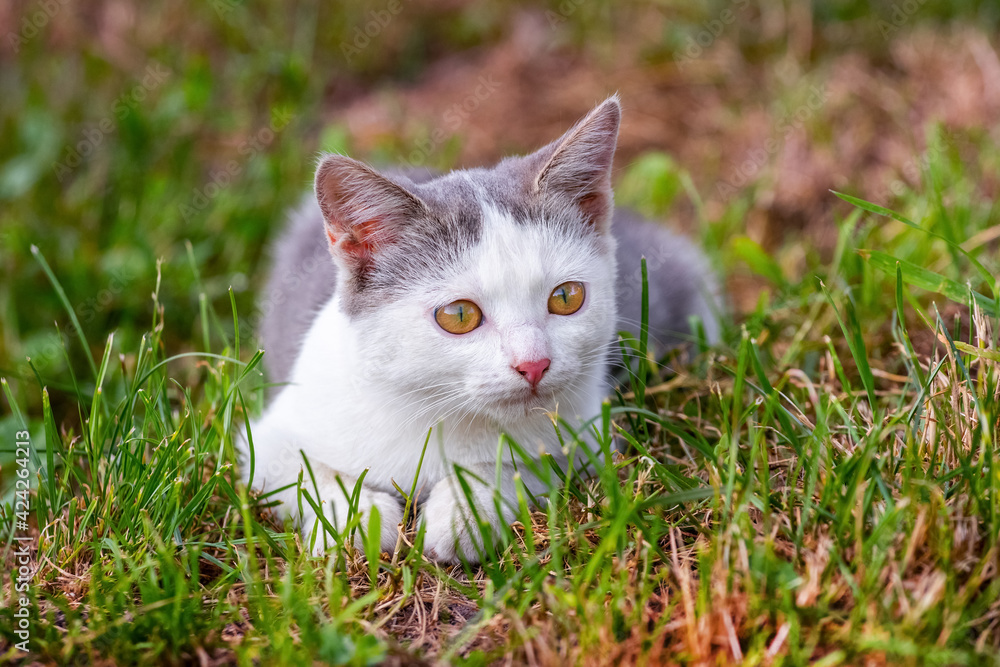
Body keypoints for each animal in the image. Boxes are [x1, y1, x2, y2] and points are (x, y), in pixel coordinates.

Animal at [242, 94, 720, 564]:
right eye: (458, 315)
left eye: (566, 297)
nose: (534, 363)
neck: (437, 416)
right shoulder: (266, 440)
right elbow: (301, 472)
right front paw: (357, 519)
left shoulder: (586, 435)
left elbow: (524, 463)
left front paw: (465, 513)